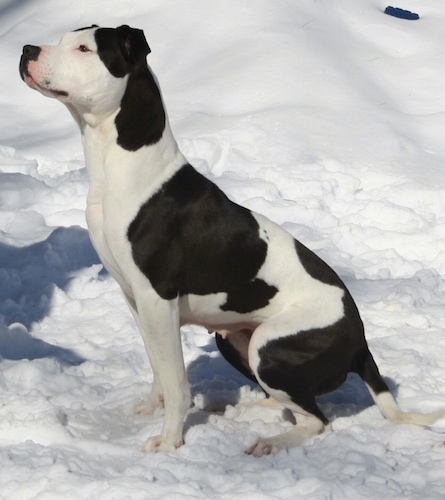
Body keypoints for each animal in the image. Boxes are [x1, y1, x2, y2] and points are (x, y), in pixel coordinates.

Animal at [19, 27, 442, 458]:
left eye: (84, 49)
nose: (26, 49)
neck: (125, 167)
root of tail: (361, 345)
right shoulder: (137, 300)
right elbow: (158, 367)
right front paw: (152, 407)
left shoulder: (158, 298)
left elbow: (177, 382)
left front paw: (169, 440)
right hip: (237, 341)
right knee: (284, 402)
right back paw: (238, 407)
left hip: (270, 348)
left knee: (315, 420)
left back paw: (270, 442)